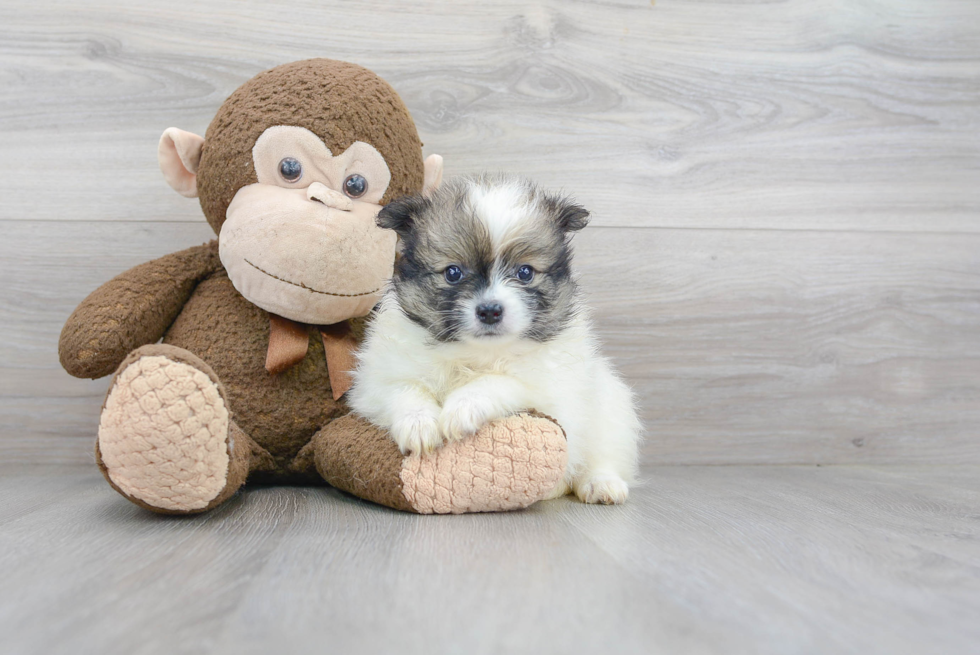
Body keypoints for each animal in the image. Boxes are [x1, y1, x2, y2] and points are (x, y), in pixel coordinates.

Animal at [348, 173, 640, 502]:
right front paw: (419, 425)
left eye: (525, 272)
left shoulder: (550, 391)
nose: (490, 311)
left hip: (612, 407)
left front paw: (462, 408)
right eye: (453, 273)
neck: (476, 352)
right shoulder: (375, 384)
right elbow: (404, 390)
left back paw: (601, 484)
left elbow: (501, 381)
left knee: (604, 455)